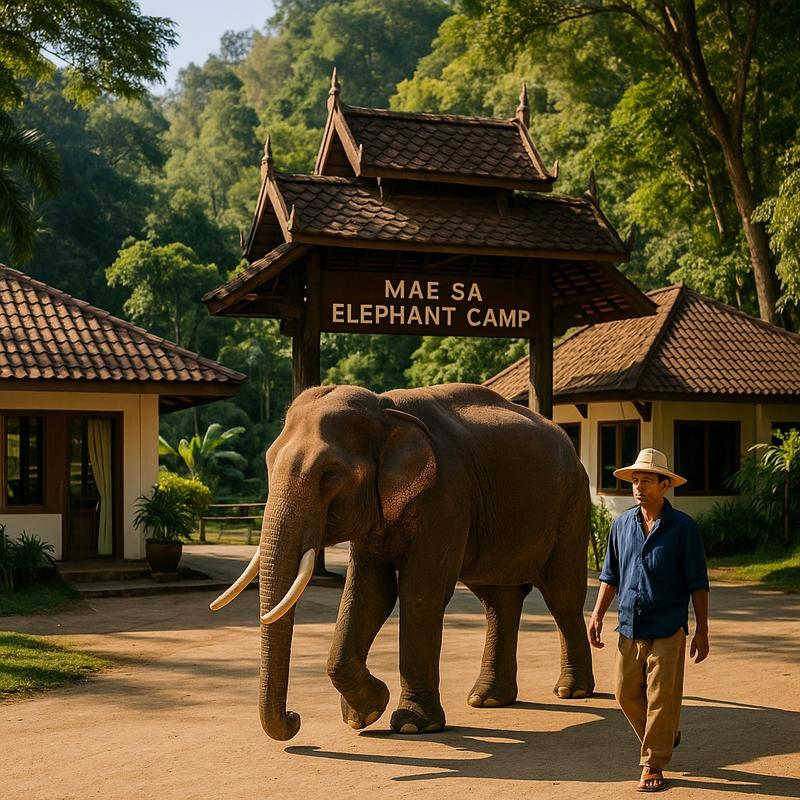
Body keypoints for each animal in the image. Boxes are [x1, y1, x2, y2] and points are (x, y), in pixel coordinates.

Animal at [211, 383, 594, 741]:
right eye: (268, 462)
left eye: (329, 474)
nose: (295, 719)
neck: (385, 408)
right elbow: (368, 595)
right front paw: (365, 713)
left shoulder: (446, 496)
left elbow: (420, 594)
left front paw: (411, 725)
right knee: (497, 600)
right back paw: (486, 699)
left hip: (573, 506)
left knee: (562, 596)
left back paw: (570, 691)